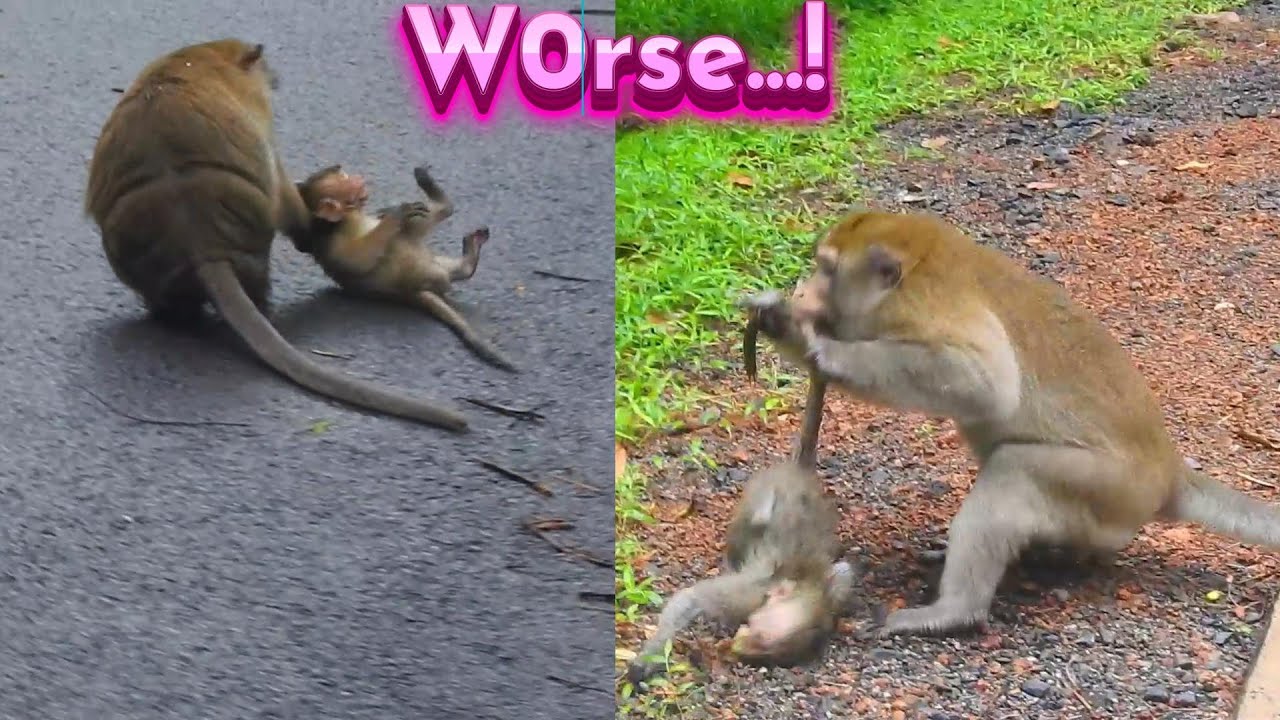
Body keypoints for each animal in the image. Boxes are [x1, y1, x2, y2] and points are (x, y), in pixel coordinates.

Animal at [292, 164, 516, 372]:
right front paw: (395, 214)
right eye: (347, 183)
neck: (344, 220)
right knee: (404, 233)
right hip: (412, 269)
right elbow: (355, 262)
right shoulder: (333, 240)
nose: (358, 179)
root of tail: (412, 291)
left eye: (344, 175)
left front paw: (391, 209)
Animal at [625, 462, 854, 685]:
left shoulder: (831, 590)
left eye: (768, 654)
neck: (801, 580)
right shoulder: (750, 595)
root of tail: (799, 469)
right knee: (759, 517)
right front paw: (649, 656)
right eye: (760, 637)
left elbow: (844, 573)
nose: (738, 646)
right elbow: (692, 599)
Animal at [744, 208, 1280, 638]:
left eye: (826, 269)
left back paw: (955, 610)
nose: (804, 290)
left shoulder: (922, 308)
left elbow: (987, 381)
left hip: (1110, 491)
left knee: (1015, 469)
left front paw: (815, 344)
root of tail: (1169, 473)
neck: (917, 266)